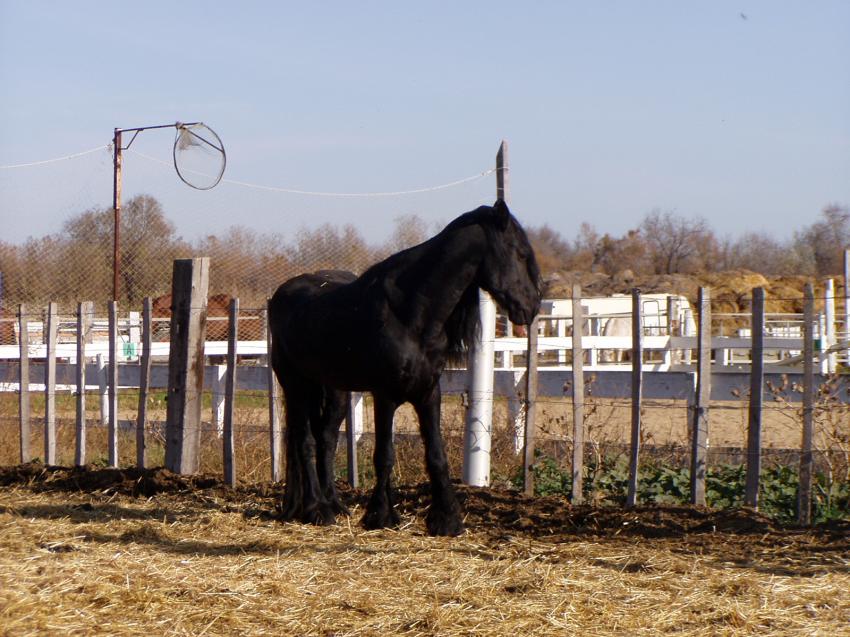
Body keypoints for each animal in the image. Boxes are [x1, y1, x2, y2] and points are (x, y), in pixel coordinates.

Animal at [268, 200, 541, 536]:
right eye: (520, 253)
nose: (532, 306)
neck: (411, 314)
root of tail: (279, 295)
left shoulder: (428, 394)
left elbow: (436, 456)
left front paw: (446, 520)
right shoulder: (384, 395)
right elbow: (384, 455)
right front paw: (381, 515)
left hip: (333, 392)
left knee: (326, 439)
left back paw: (333, 504)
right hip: (296, 385)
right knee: (304, 442)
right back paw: (316, 509)